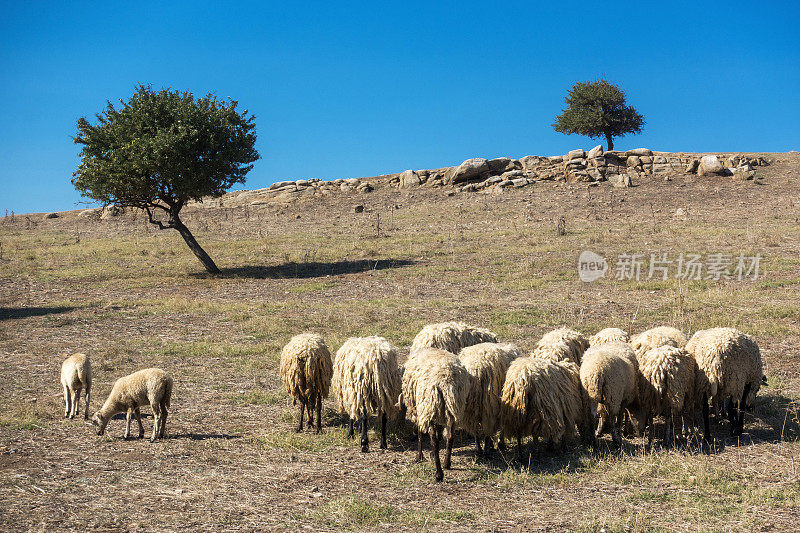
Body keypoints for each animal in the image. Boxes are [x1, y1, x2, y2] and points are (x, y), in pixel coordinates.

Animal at [398, 348, 468, 480]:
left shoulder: (420, 409)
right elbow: (439, 431)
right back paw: (446, 463)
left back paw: (438, 474)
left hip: (428, 405)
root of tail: (446, 381)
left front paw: (419, 456)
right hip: (453, 407)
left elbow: (421, 433)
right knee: (450, 436)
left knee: (434, 440)